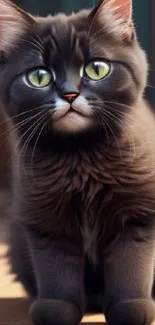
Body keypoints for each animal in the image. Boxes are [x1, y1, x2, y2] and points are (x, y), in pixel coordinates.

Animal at [0, 0, 155, 322]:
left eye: (97, 69)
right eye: (39, 76)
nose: (70, 94)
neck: (82, 155)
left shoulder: (137, 212)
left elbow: (131, 264)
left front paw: (131, 307)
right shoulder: (44, 218)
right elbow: (56, 271)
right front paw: (56, 308)